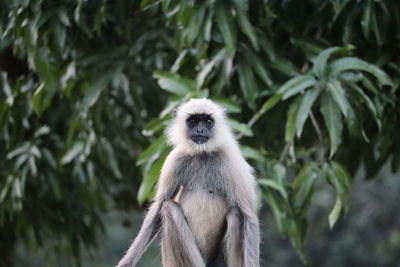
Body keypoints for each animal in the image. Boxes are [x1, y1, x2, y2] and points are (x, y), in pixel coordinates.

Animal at [115, 98, 260, 267]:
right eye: (193, 121)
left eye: (208, 121)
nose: (200, 131)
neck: (202, 154)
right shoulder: (175, 159)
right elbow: (158, 206)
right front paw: (126, 262)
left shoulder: (231, 163)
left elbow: (248, 216)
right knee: (169, 208)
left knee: (236, 214)